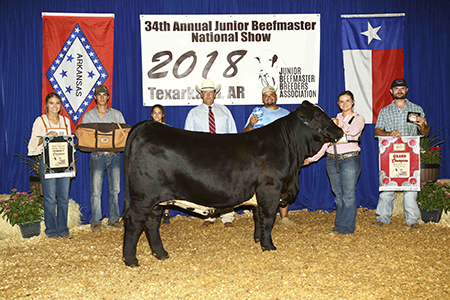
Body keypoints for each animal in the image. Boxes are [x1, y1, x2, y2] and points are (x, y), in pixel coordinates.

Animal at [121, 99, 342, 266]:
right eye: (317, 116)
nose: (340, 131)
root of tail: (148, 125)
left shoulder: (259, 193)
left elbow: (258, 217)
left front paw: (257, 239)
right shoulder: (271, 189)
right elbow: (269, 218)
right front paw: (269, 246)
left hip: (157, 199)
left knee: (151, 223)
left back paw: (161, 254)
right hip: (144, 196)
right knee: (135, 221)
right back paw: (131, 260)